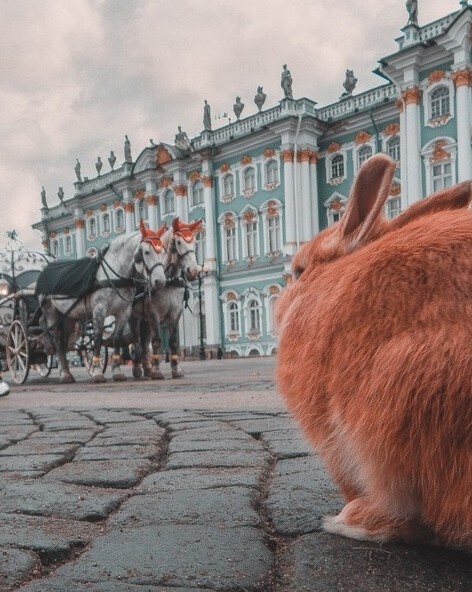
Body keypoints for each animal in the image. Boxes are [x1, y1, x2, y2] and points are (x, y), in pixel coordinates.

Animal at [37, 222, 166, 384]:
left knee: (62, 342)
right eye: (147, 252)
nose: (160, 281)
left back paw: (68, 373)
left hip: (68, 318)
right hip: (52, 315)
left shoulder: (124, 312)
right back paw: (64, 374)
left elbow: (117, 339)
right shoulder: (99, 310)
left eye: (162, 250)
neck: (114, 274)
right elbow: (97, 340)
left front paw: (117, 372)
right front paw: (98, 372)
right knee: (56, 342)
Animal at [130, 217, 202, 380]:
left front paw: (176, 369)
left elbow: (173, 340)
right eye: (179, 242)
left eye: (195, 242)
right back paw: (135, 368)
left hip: (144, 320)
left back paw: (147, 368)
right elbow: (157, 341)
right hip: (133, 317)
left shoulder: (176, 313)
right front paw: (157, 371)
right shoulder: (154, 315)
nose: (193, 271)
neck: (168, 281)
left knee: (144, 343)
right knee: (133, 340)